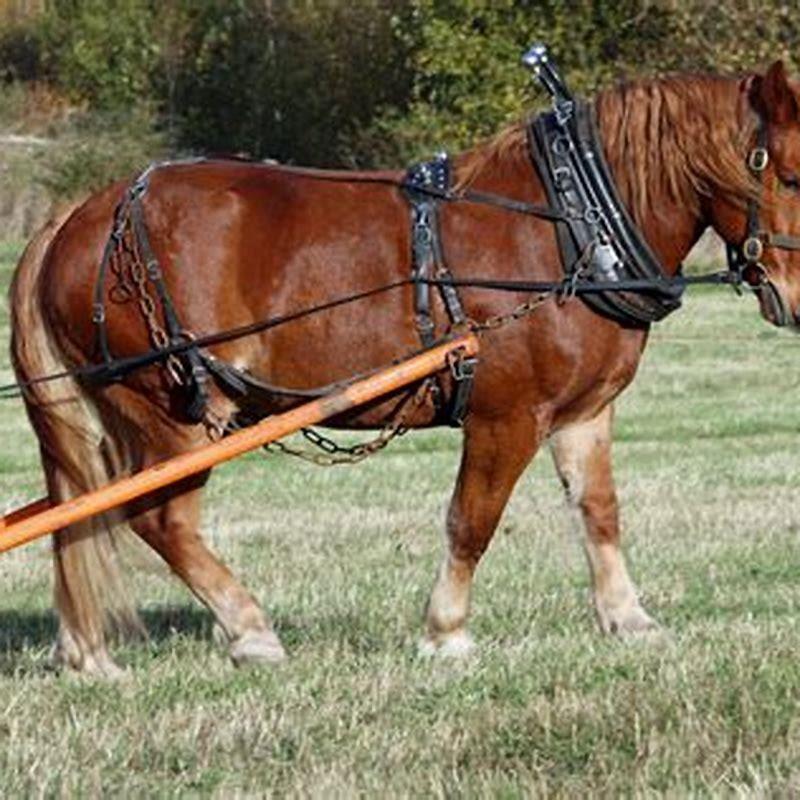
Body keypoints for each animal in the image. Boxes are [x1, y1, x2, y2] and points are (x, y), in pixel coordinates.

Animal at [9, 59, 800, 677]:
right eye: (790, 175)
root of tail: (79, 215)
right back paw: (250, 630)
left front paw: (628, 618)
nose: (794, 300)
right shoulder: (506, 415)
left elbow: (599, 512)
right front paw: (446, 631)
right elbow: (471, 521)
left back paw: (87, 652)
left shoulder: (583, 413)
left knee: (79, 513)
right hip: (171, 412)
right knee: (157, 518)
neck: (575, 230)